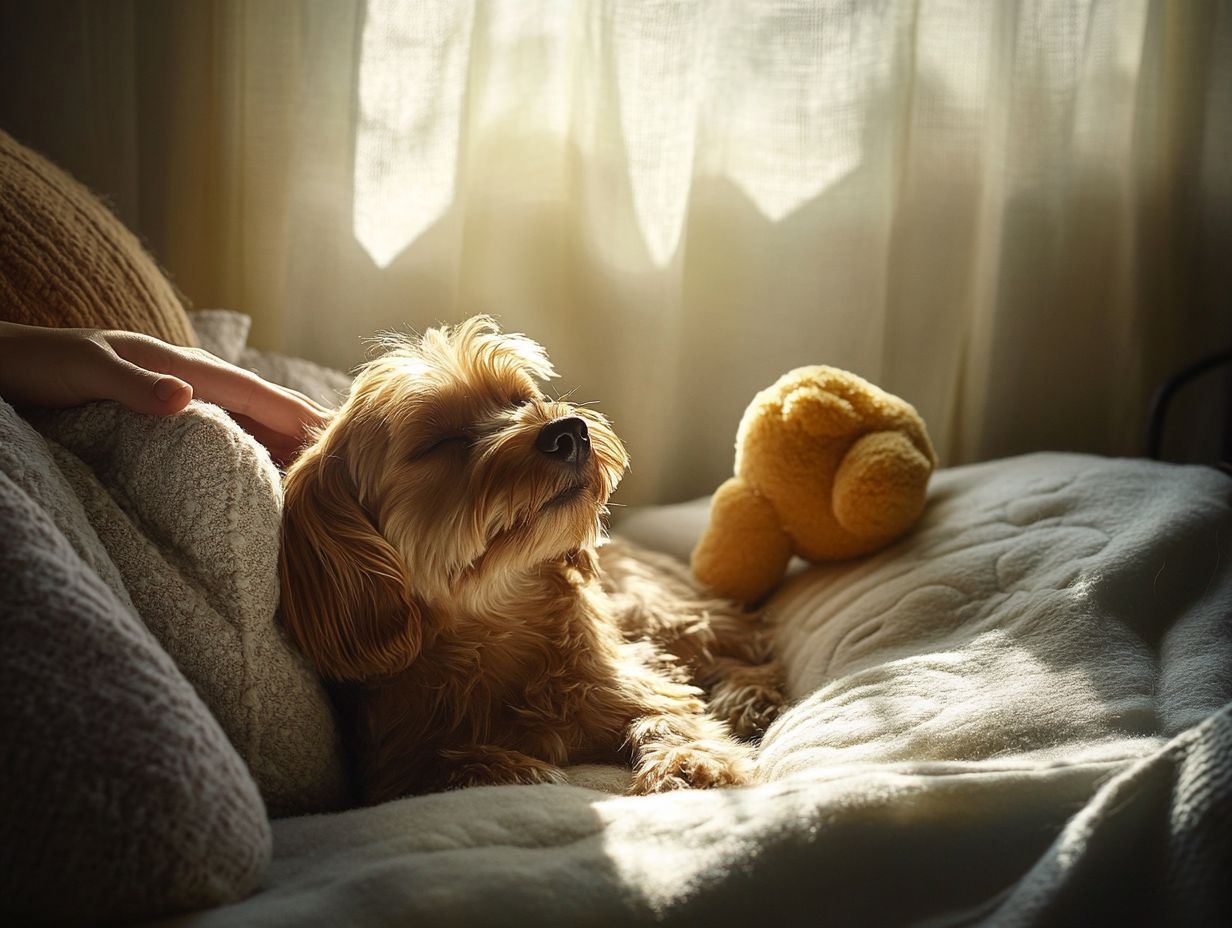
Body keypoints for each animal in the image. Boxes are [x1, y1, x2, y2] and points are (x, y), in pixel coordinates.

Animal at [279, 315, 778, 798]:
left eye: (521, 399)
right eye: (439, 441)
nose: (569, 432)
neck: (501, 614)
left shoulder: (633, 683)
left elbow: (671, 714)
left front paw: (691, 764)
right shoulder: (394, 763)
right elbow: (444, 766)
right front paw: (513, 770)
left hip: (654, 610)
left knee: (743, 648)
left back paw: (748, 699)